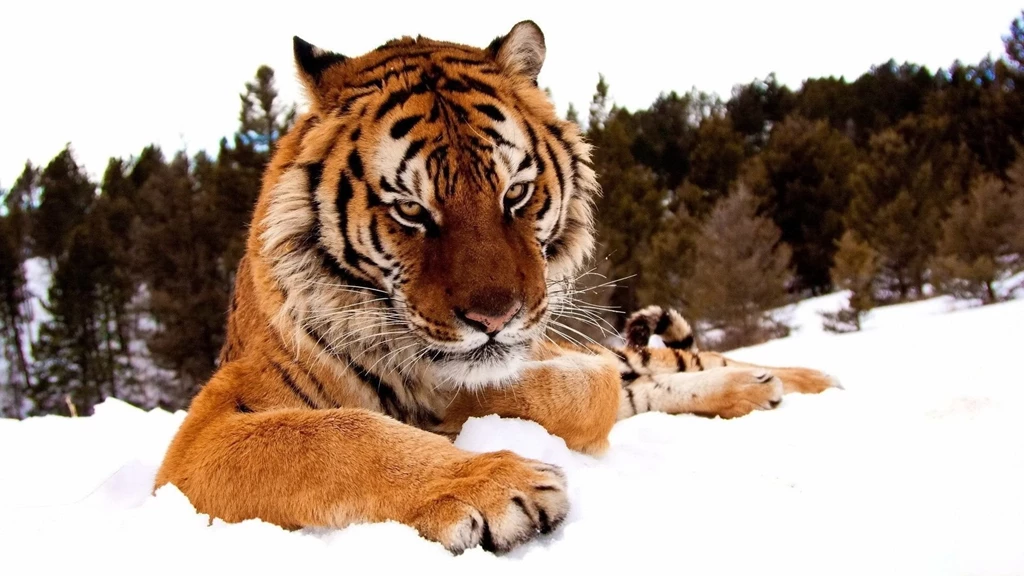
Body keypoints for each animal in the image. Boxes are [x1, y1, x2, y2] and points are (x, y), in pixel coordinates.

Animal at [154, 20, 840, 555]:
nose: (495, 318)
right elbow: (337, 435)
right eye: (411, 211)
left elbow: (571, 388)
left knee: (685, 362)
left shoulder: (558, 356)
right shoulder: (205, 433)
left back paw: (800, 381)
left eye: (516, 194)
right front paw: (494, 482)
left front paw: (463, 412)